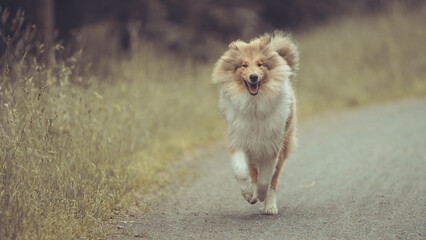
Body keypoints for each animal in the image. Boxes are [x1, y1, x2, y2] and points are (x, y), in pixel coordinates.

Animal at [211, 31, 298, 215]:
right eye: (244, 65)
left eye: (260, 64)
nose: (253, 77)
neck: (254, 104)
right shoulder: (238, 140)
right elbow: (241, 171)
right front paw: (248, 194)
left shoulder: (272, 147)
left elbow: (266, 179)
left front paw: (262, 196)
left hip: (283, 147)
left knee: (273, 181)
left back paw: (269, 207)